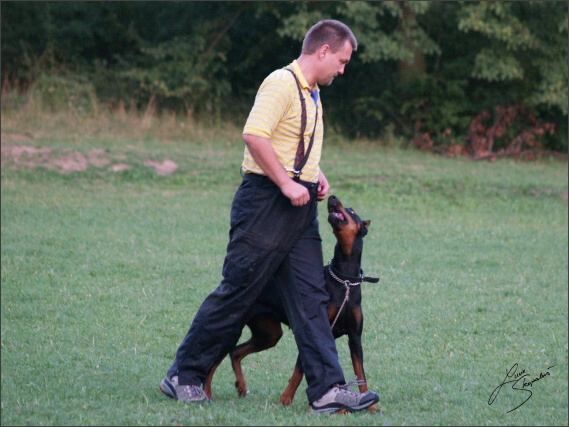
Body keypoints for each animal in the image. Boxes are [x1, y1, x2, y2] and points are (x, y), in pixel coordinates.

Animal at [202, 195, 380, 412]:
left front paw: (369, 405)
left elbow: (360, 372)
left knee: (235, 352)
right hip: (234, 329)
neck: (344, 279)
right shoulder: (317, 327)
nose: (332, 197)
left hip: (268, 334)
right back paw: (207, 392)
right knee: (212, 361)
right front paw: (286, 399)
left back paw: (241, 386)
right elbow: (299, 369)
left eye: (352, 211)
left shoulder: (355, 337)